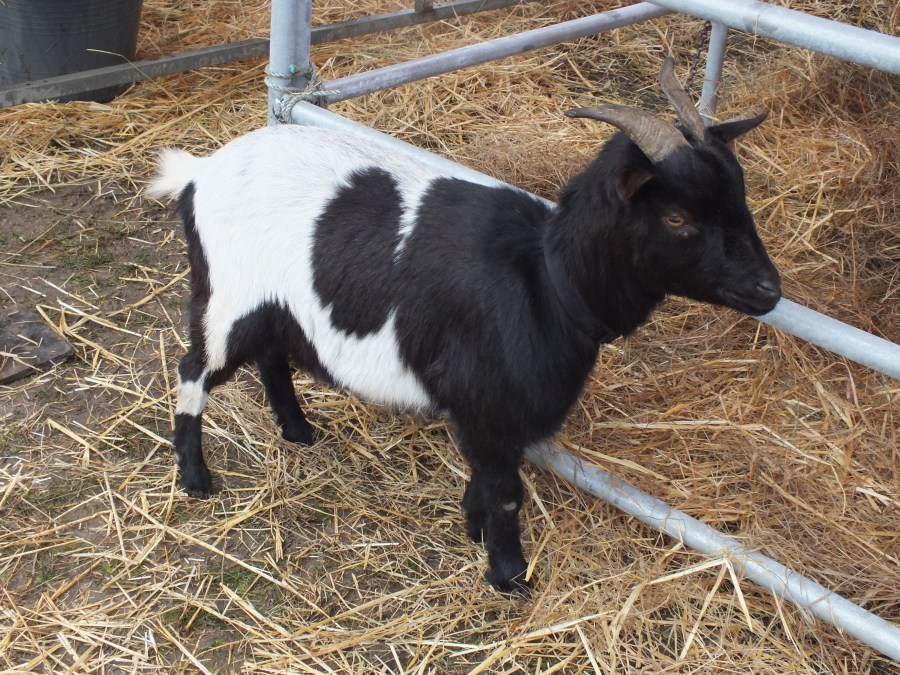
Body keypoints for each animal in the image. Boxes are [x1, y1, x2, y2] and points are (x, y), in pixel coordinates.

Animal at [148, 58, 781, 593]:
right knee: (193, 369)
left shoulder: (491, 416)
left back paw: (297, 431)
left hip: (271, 306)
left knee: (272, 355)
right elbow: (506, 493)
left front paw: (474, 530)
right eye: (676, 217)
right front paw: (509, 575)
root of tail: (199, 174)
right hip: (224, 299)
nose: (768, 290)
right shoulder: (487, 405)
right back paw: (196, 477)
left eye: (741, 193)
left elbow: (485, 481)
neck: (545, 281)